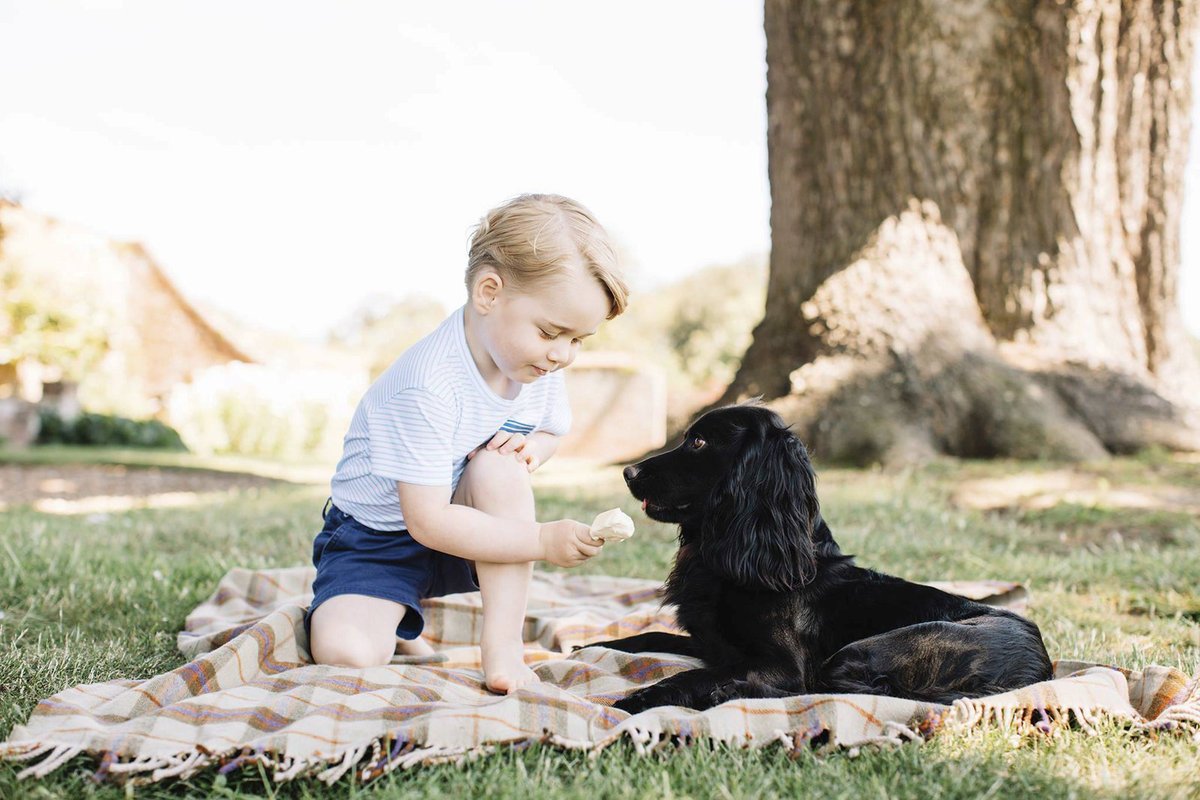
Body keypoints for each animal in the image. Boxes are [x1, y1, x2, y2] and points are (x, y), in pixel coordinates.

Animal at [595, 407, 1056, 714]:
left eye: (699, 441)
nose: (628, 472)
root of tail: (1039, 670)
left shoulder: (781, 665)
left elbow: (702, 674)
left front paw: (642, 698)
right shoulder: (713, 644)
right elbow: (647, 637)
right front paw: (592, 646)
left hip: (866, 651)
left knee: (834, 691)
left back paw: (725, 695)